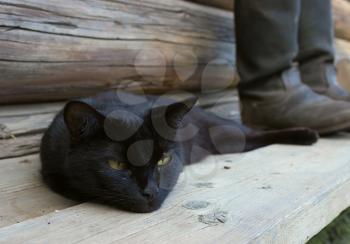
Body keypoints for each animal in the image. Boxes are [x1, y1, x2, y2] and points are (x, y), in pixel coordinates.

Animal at [40, 90, 318, 213]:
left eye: (163, 160)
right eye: (117, 165)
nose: (150, 192)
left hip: (228, 135)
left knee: (253, 133)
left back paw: (308, 135)